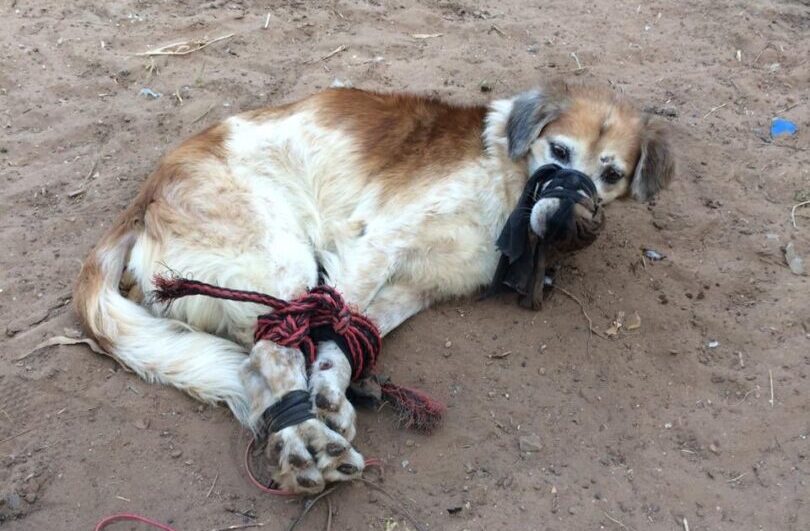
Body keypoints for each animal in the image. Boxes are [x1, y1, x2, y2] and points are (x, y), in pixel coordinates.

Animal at [74, 80, 674, 494]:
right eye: (560, 152)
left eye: (611, 174)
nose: (566, 219)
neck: (505, 183)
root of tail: (147, 194)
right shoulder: (378, 242)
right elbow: (332, 324)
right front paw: (322, 400)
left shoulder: (418, 286)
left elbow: (347, 335)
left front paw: (333, 389)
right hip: (282, 258)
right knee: (268, 355)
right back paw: (306, 443)